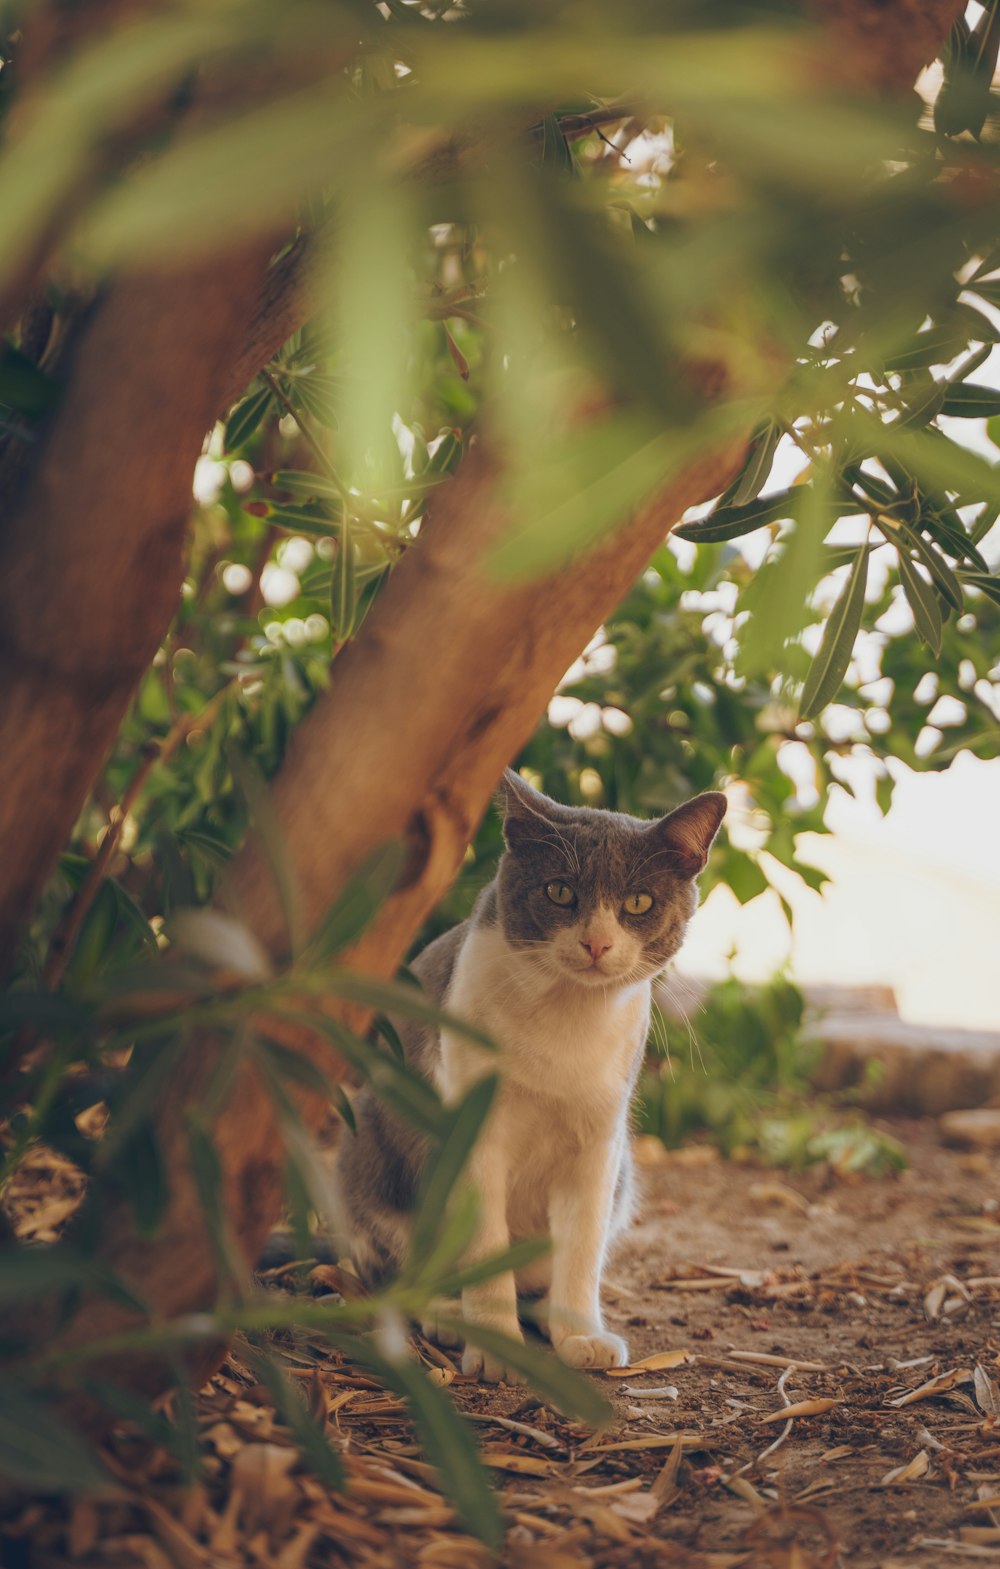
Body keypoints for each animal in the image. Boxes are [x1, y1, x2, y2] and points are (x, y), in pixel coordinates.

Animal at [331, 765, 722, 1380]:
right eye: (559, 891)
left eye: (638, 901)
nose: (596, 942)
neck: (565, 1020)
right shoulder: (473, 1131)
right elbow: (486, 1249)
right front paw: (495, 1348)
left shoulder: (600, 1144)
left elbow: (581, 1251)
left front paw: (579, 1336)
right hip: (370, 1145)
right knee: (397, 1270)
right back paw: (447, 1314)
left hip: (624, 1174)